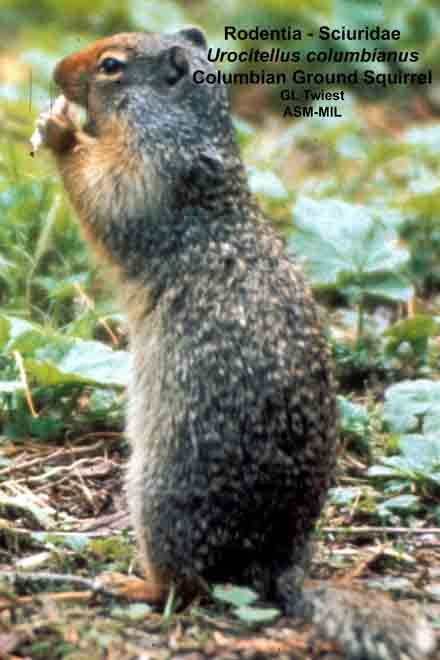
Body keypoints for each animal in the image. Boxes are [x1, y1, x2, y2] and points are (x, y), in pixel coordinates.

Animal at [33, 28, 436, 659]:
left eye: (110, 65)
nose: (54, 72)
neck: (183, 129)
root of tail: (276, 566)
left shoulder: (146, 175)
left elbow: (102, 191)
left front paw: (59, 130)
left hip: (161, 494)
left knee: (189, 584)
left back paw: (129, 583)